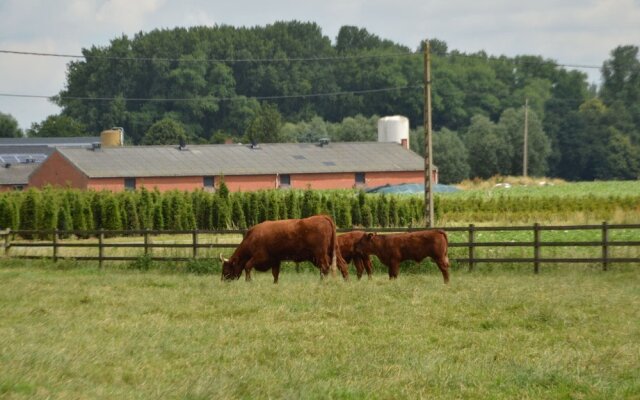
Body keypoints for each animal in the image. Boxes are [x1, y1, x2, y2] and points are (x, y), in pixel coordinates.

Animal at [220, 214, 350, 282]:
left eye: (226, 269)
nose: (223, 281)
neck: (252, 237)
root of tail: (322, 216)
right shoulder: (275, 260)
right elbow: (275, 274)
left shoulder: (260, 257)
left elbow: (247, 266)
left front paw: (248, 281)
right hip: (334, 251)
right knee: (342, 265)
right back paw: (346, 281)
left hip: (320, 254)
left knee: (325, 267)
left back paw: (322, 282)